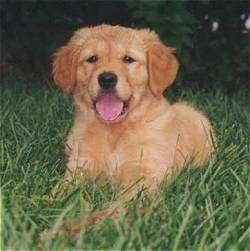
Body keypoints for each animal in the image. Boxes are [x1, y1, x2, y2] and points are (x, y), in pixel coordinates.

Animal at [52, 25, 215, 192]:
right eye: (92, 59)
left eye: (128, 59)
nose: (107, 79)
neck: (115, 131)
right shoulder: (81, 165)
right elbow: (61, 191)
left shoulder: (147, 171)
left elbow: (129, 197)